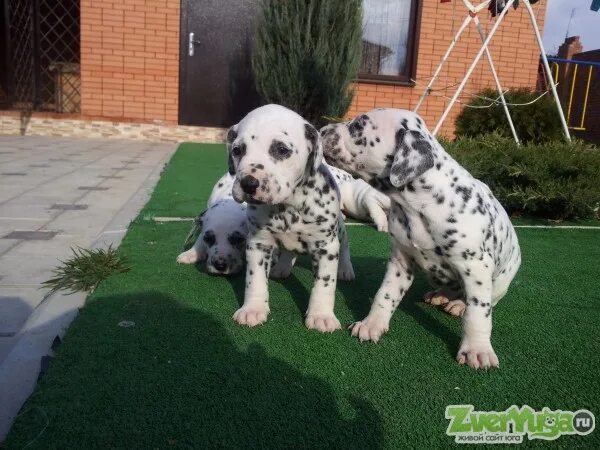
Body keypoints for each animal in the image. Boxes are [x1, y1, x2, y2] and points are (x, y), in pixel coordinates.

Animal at [227, 103, 354, 332]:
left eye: (281, 150)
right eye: (237, 150)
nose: (248, 183)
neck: (288, 206)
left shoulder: (326, 247)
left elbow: (324, 284)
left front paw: (321, 315)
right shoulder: (258, 244)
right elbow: (255, 280)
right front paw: (253, 309)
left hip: (339, 230)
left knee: (345, 244)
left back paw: (346, 269)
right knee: (289, 252)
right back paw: (283, 267)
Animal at [322, 109, 524, 370]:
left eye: (358, 126)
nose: (322, 129)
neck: (418, 205)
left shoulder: (476, 268)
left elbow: (478, 315)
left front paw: (477, 350)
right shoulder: (401, 262)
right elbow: (384, 295)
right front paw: (371, 324)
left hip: (500, 281)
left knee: (486, 301)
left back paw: (458, 304)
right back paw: (440, 295)